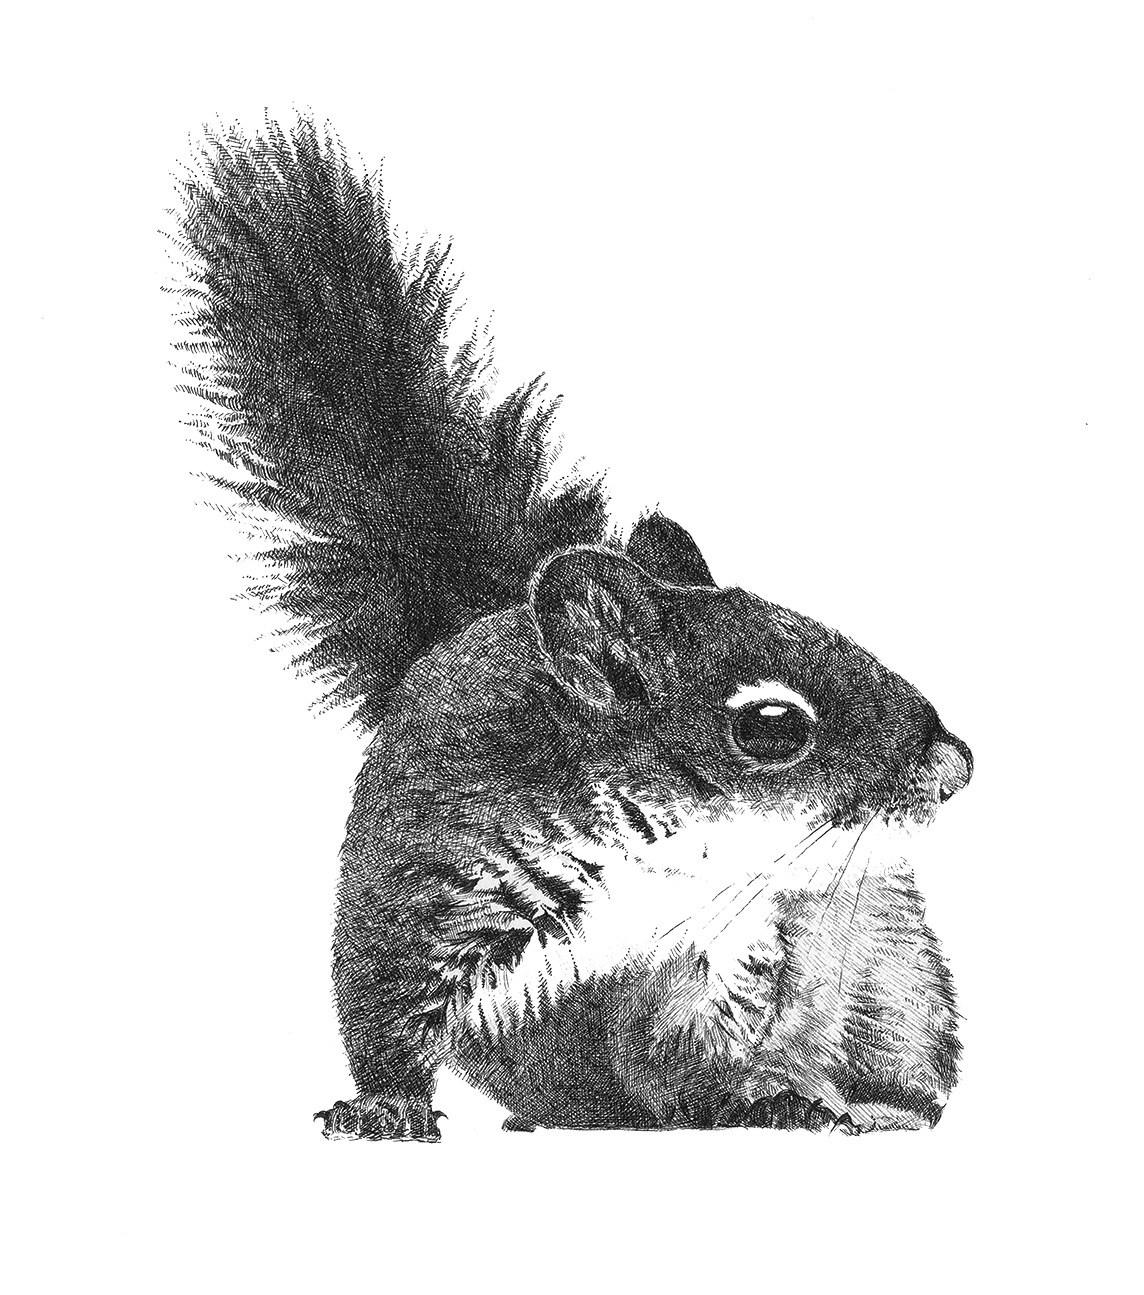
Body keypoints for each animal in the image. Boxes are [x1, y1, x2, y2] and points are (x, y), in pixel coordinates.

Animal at [173, 117, 973, 1139]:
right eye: (771, 726)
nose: (956, 763)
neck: (664, 867)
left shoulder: (724, 953)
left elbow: (693, 1057)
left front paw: (771, 1097)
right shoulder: (423, 892)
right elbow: (382, 1015)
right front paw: (384, 1108)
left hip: (898, 984)